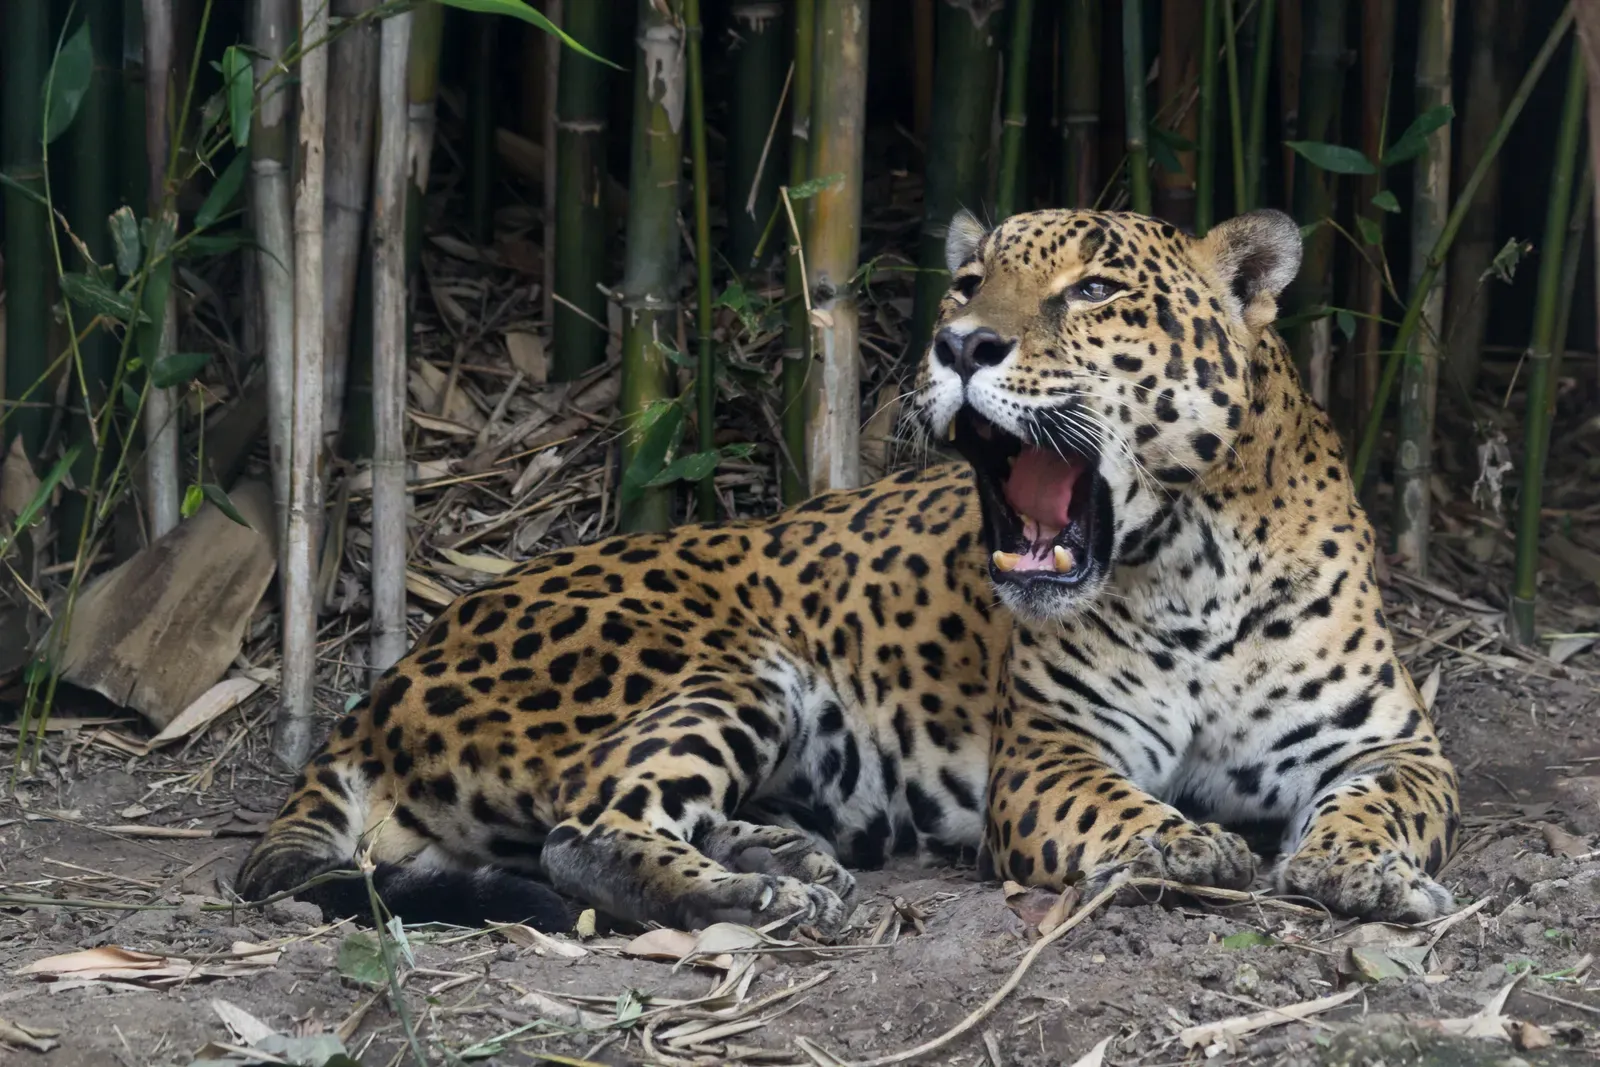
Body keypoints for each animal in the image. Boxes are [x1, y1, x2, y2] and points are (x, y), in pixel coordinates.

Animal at [913, 205, 1460, 923]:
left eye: (1094, 290)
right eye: (967, 285)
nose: (959, 345)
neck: (1192, 576)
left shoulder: (1392, 745)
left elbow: (1379, 801)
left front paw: (1356, 863)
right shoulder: (1046, 747)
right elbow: (1101, 804)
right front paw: (1183, 845)